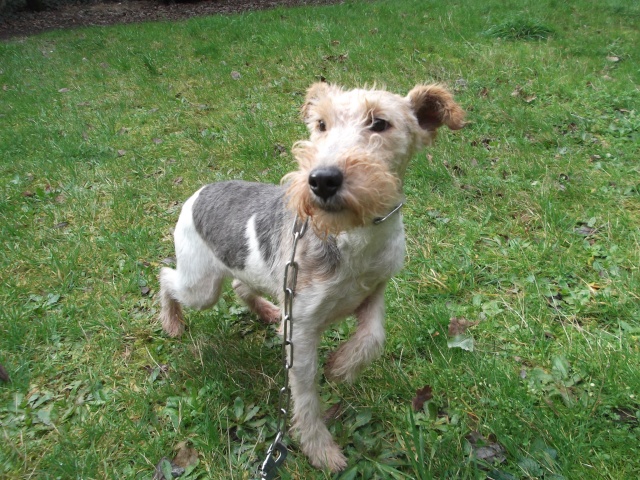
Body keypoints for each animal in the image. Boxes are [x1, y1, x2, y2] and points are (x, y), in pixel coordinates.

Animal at [157, 81, 462, 468]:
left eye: (380, 123)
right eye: (320, 124)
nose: (322, 180)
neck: (352, 234)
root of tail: (198, 192)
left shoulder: (374, 290)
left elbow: (373, 337)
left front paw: (341, 367)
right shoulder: (300, 329)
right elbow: (305, 396)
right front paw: (322, 451)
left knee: (240, 284)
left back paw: (267, 311)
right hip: (200, 285)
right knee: (166, 277)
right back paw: (172, 322)